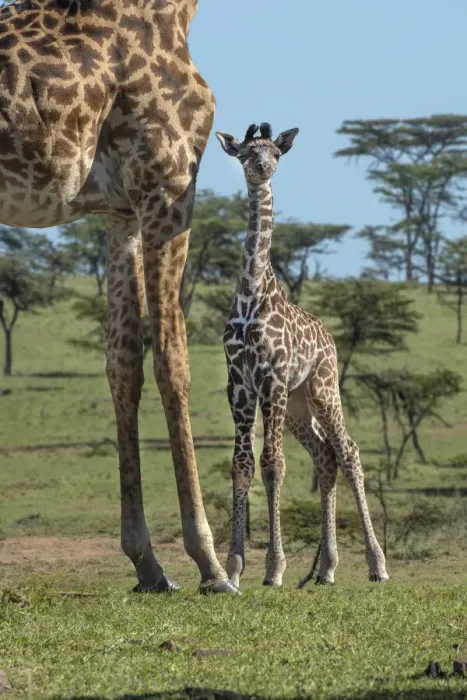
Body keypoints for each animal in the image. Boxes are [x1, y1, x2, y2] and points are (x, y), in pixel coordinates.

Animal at [0, 0, 236, 594]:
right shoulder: (167, 186)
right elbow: (173, 362)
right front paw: (211, 564)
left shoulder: (120, 212)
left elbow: (123, 363)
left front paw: (147, 563)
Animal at [216, 123, 389, 591]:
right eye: (244, 154)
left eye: (275, 152)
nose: (262, 168)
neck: (251, 294)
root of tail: (329, 337)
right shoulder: (239, 384)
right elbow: (242, 465)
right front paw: (233, 567)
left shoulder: (271, 378)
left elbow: (273, 465)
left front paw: (273, 568)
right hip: (297, 404)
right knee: (325, 456)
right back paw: (326, 568)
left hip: (323, 389)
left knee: (348, 452)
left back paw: (378, 564)